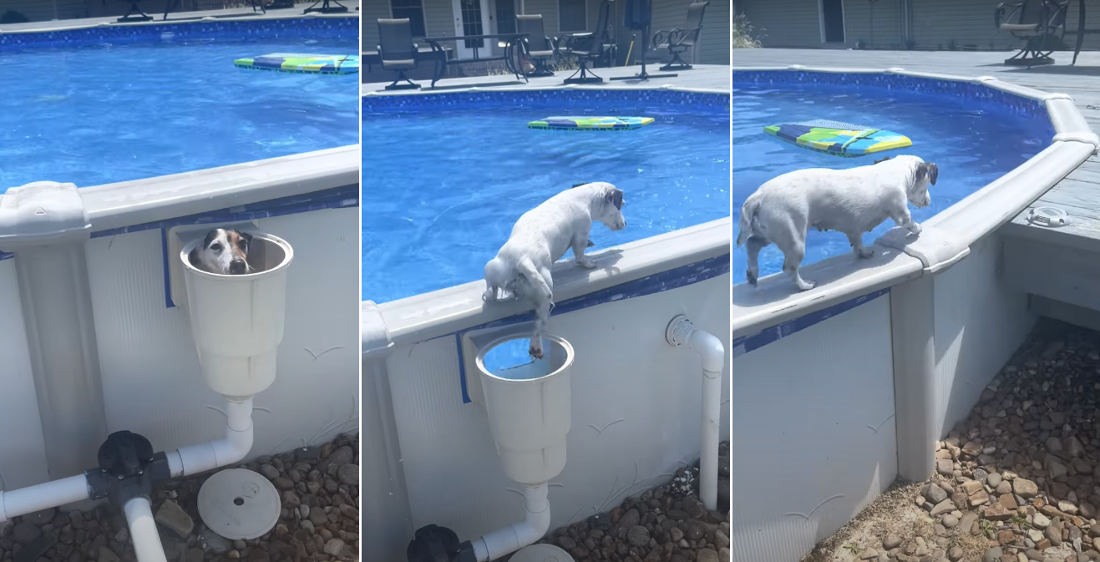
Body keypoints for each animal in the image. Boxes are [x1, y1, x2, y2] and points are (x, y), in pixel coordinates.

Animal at [484, 182, 629, 358]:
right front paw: (589, 263)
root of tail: (522, 260)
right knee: (538, 325)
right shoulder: (581, 233)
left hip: (492, 268)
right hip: (545, 292)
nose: (625, 224)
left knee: (491, 289)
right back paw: (536, 346)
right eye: (621, 205)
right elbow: (580, 255)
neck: (585, 197)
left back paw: (490, 295)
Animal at [739, 156, 937, 292]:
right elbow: (909, 222)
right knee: (789, 268)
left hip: (768, 233)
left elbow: (858, 243)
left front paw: (863, 253)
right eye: (926, 187)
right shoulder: (900, 212)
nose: (929, 201)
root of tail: (759, 196)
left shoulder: (855, 228)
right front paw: (917, 228)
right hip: (794, 239)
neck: (896, 171)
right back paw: (804, 285)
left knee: (752, 245)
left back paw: (752, 273)